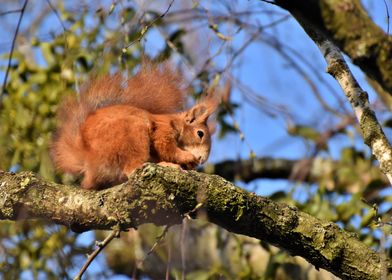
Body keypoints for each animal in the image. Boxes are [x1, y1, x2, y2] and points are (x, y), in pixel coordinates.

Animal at [50, 64, 219, 190]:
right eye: (200, 133)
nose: (202, 159)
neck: (175, 122)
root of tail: (87, 156)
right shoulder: (163, 130)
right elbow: (166, 148)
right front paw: (187, 157)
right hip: (132, 134)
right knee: (132, 168)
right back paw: (166, 165)